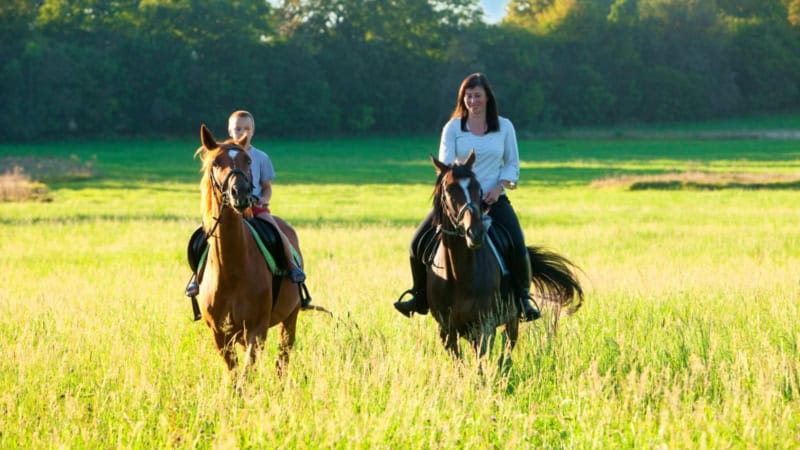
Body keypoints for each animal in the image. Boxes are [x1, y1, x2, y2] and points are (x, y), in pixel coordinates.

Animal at [427, 151, 583, 362]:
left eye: (478, 187)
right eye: (450, 190)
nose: (475, 233)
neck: (458, 273)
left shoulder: (485, 327)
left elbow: (481, 364)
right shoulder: (446, 330)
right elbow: (460, 365)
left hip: (512, 319)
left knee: (507, 351)